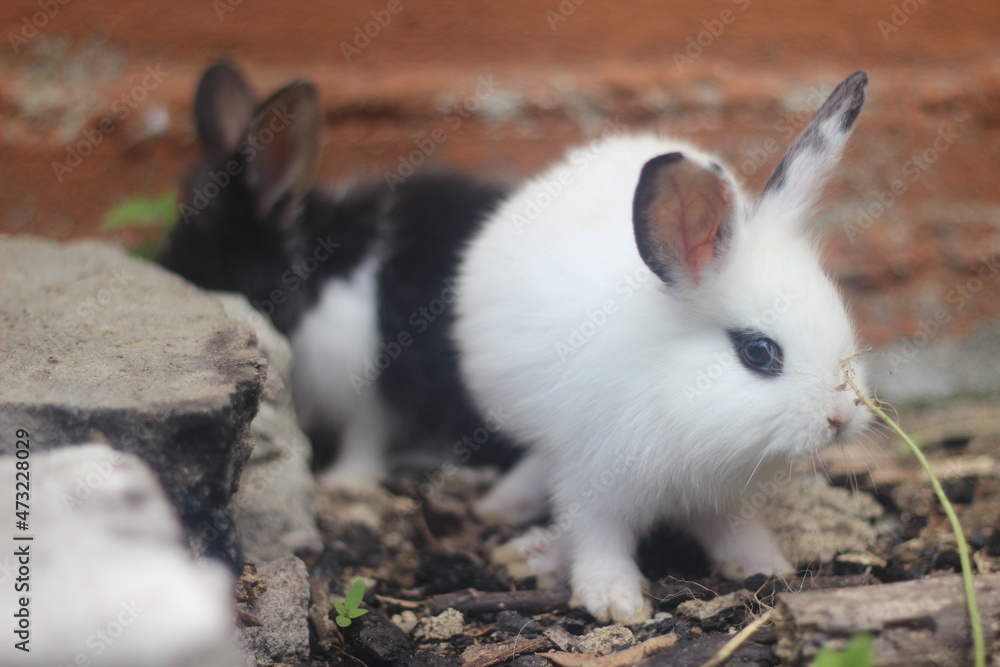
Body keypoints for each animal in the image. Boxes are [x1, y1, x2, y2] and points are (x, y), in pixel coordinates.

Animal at [162, 61, 516, 486]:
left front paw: (341, 479)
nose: (168, 269)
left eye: (206, 238)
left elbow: (364, 440)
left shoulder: (365, 393)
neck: (309, 271)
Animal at [452, 74, 868, 628]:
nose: (842, 416)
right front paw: (614, 601)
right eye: (759, 352)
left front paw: (763, 564)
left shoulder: (725, 497)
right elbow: (596, 538)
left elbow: (734, 531)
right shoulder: (594, 478)